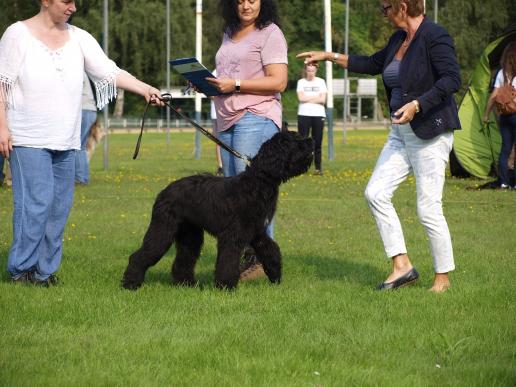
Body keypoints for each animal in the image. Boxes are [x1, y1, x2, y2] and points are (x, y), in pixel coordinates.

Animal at [123, 131, 312, 292]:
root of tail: (164, 191)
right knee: (141, 255)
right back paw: (130, 283)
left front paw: (275, 275)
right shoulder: (233, 235)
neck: (258, 184)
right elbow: (228, 261)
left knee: (184, 259)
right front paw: (225, 286)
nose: (310, 141)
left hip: (190, 234)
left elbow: (271, 250)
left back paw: (186, 283)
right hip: (163, 229)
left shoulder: (258, 232)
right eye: (293, 142)